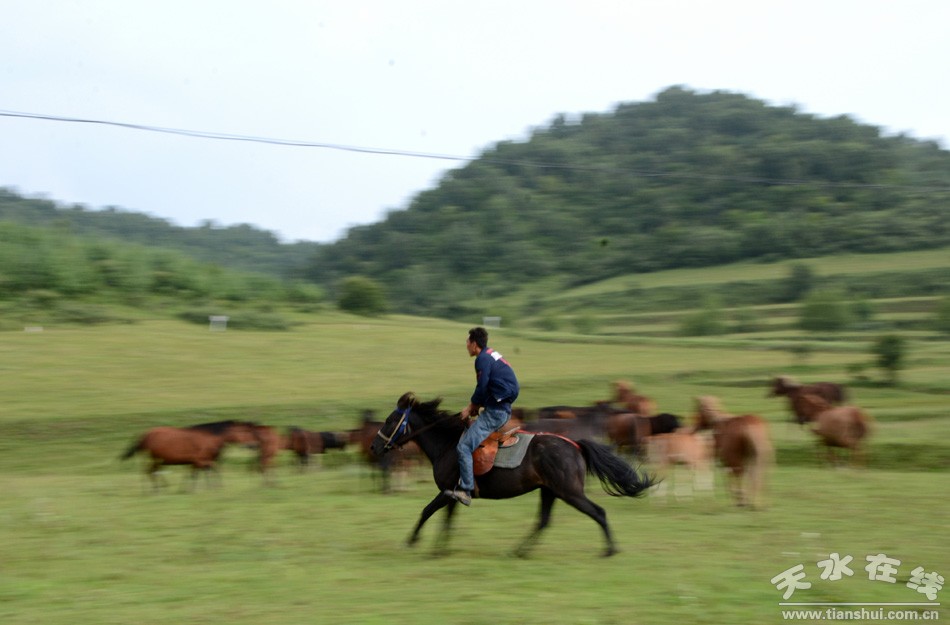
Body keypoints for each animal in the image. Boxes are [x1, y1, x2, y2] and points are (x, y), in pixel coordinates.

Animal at [120, 420, 259, 491]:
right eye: (245, 431)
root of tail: (146, 434)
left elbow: (203, 473)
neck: (208, 438)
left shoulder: (201, 462)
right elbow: (199, 475)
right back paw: (155, 490)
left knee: (151, 472)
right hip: (155, 459)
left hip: (158, 460)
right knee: (149, 472)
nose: (254, 445)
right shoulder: (199, 461)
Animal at [370, 392, 656, 557]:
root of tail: (574, 445)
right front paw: (439, 548)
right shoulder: (453, 494)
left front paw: (413, 541)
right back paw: (520, 550)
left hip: (569, 492)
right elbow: (446, 520)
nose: (374, 447)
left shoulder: (447, 491)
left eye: (390, 420)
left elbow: (427, 511)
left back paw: (609, 550)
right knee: (543, 521)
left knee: (598, 512)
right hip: (550, 491)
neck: (448, 444)